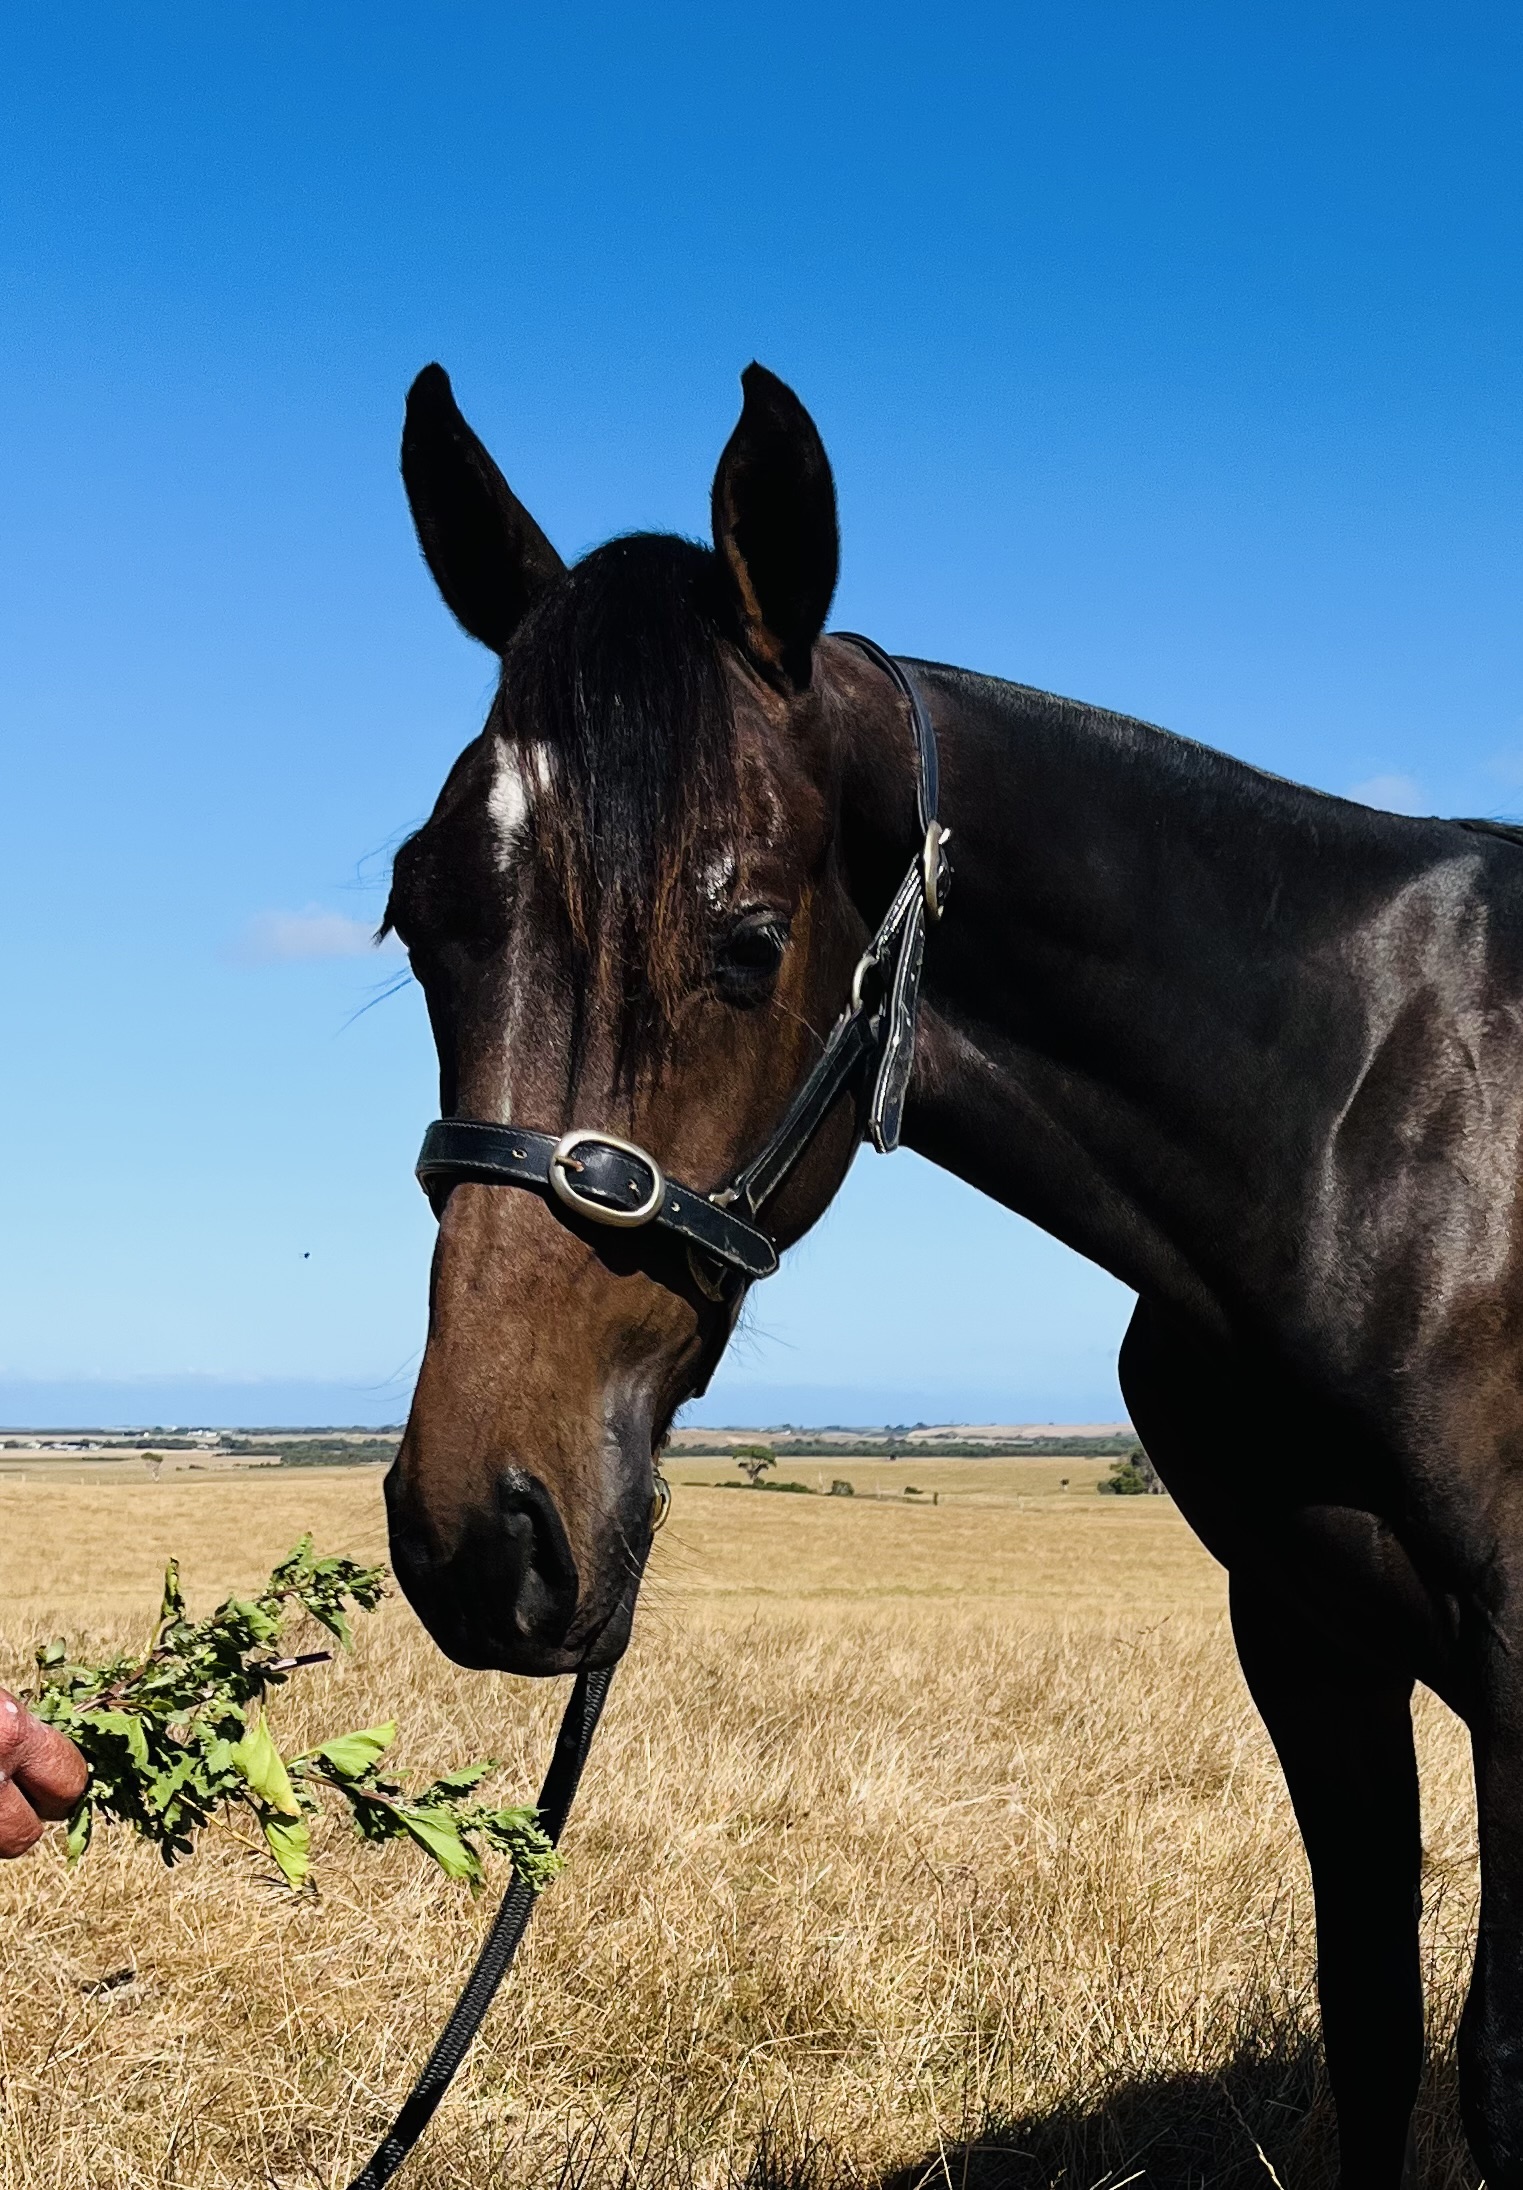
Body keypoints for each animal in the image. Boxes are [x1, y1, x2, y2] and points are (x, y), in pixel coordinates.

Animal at [382, 358, 1523, 2188]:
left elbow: (1491, 2064)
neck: (1359, 1120)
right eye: (418, 918)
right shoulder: (1302, 1635)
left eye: (749, 940)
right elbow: (1368, 2018)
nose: (479, 1534)